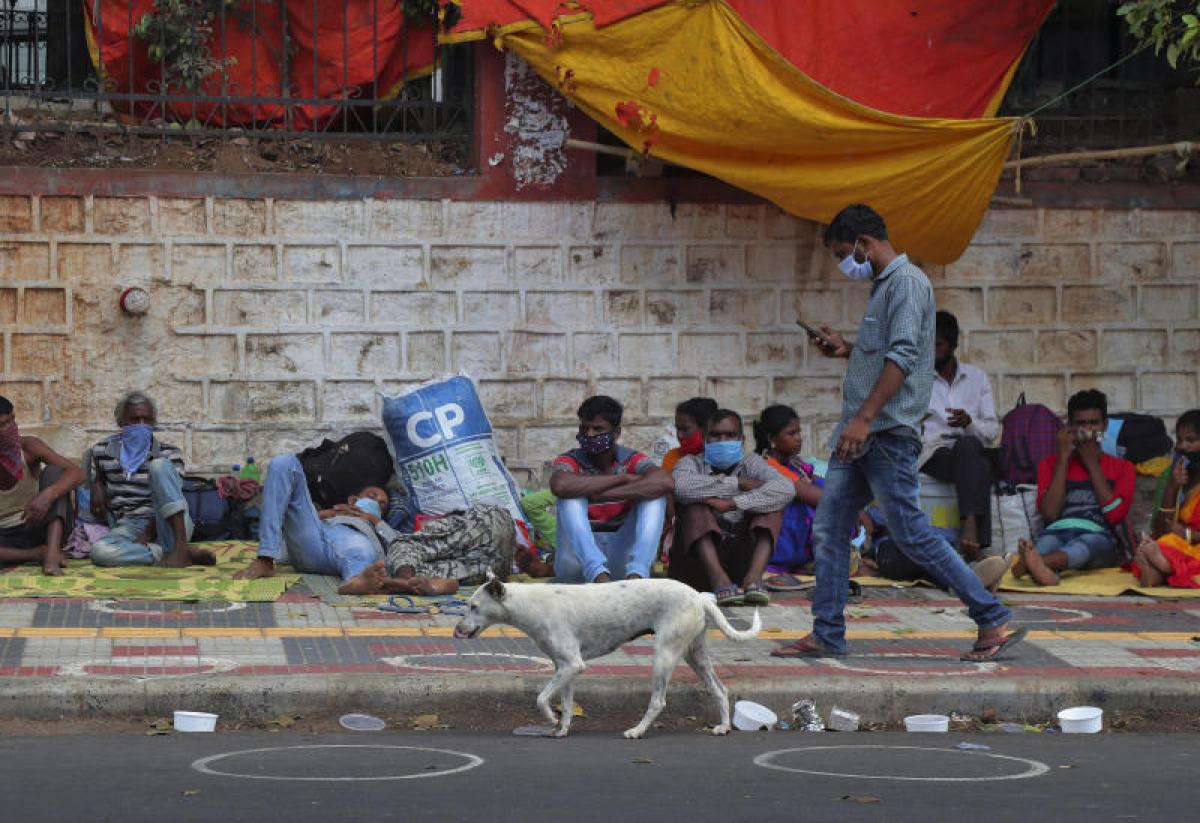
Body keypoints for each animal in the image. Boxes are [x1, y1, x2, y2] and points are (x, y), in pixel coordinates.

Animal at [451, 573, 758, 743]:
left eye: (473, 606)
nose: (457, 630)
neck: (528, 603)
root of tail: (700, 596)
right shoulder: (565, 668)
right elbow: (566, 704)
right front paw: (561, 729)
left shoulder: (572, 665)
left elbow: (540, 698)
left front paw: (550, 719)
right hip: (696, 656)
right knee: (720, 690)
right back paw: (724, 726)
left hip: (664, 656)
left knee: (658, 701)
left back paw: (637, 731)